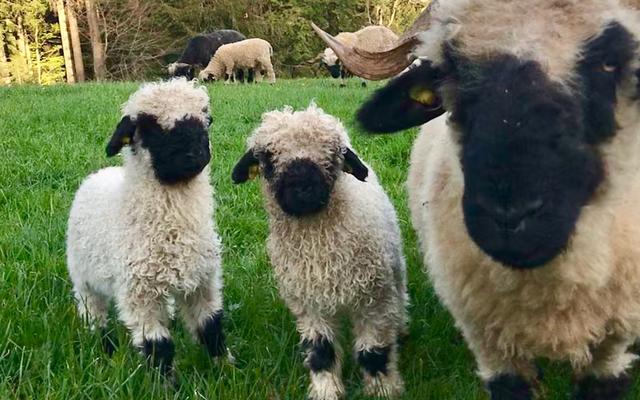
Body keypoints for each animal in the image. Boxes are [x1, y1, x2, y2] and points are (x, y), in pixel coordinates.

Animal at [66, 78, 226, 377]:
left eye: (204, 121)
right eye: (150, 128)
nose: (195, 154)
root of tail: (100, 173)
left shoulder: (203, 280)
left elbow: (212, 328)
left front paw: (227, 370)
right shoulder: (139, 293)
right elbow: (157, 346)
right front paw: (166, 383)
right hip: (83, 277)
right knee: (93, 313)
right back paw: (104, 346)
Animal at [231, 104, 408, 400]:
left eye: (332, 153)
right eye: (267, 157)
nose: (302, 187)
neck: (320, 247)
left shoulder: (373, 299)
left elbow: (373, 351)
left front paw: (383, 389)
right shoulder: (309, 303)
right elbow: (320, 351)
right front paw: (326, 389)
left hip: (393, 267)